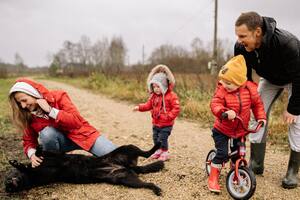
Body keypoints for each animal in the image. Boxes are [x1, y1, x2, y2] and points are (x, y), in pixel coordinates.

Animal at [4, 143, 164, 196]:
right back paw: (156, 189)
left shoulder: (55, 155)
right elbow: (29, 167)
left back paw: (158, 144)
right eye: (8, 188)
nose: (9, 184)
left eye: (6, 179)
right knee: (147, 183)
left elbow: (40, 154)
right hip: (126, 179)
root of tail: (129, 166)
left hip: (127, 148)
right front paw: (19, 164)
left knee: (146, 152)